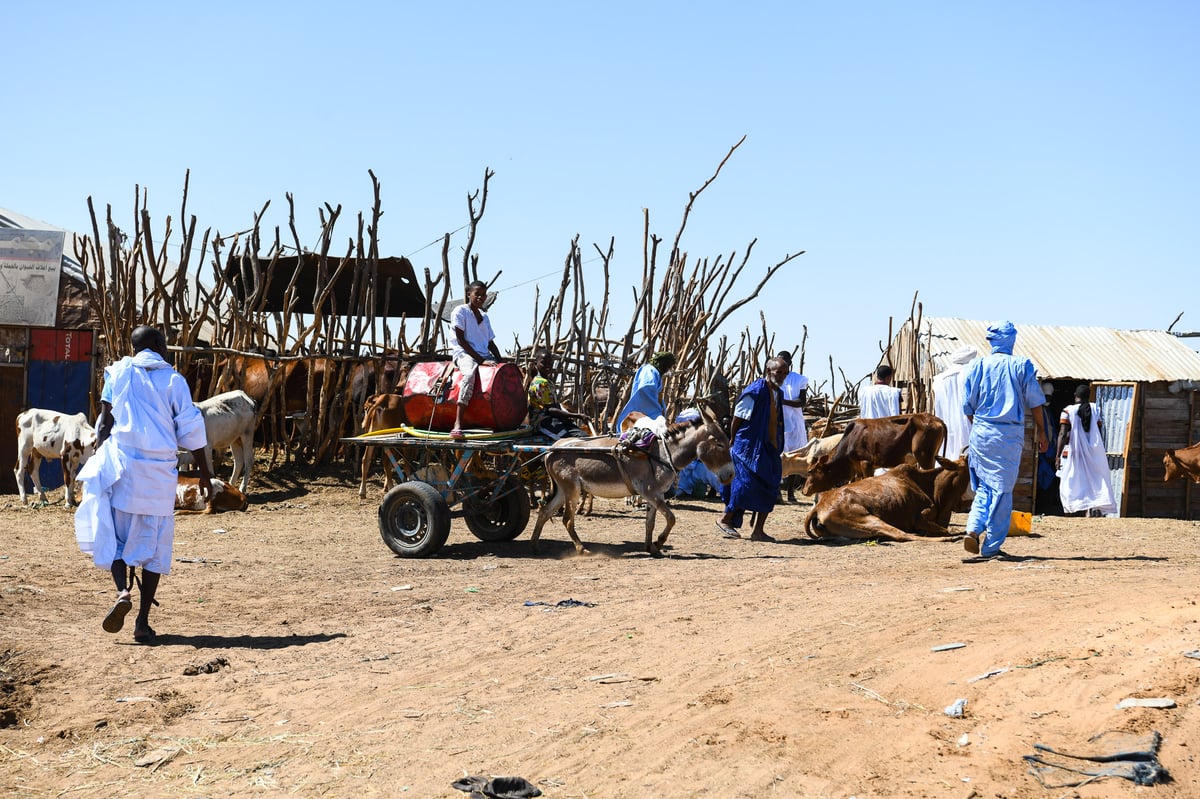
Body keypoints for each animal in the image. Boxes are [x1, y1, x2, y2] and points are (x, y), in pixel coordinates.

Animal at [801, 410, 950, 491]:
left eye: (810, 471)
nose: (804, 491)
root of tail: (937, 419)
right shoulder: (858, 469)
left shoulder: (866, 464)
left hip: (924, 457)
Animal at [801, 453, 969, 542]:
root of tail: (818, 507)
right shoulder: (920, 517)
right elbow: (943, 529)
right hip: (870, 520)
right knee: (901, 535)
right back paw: (945, 539)